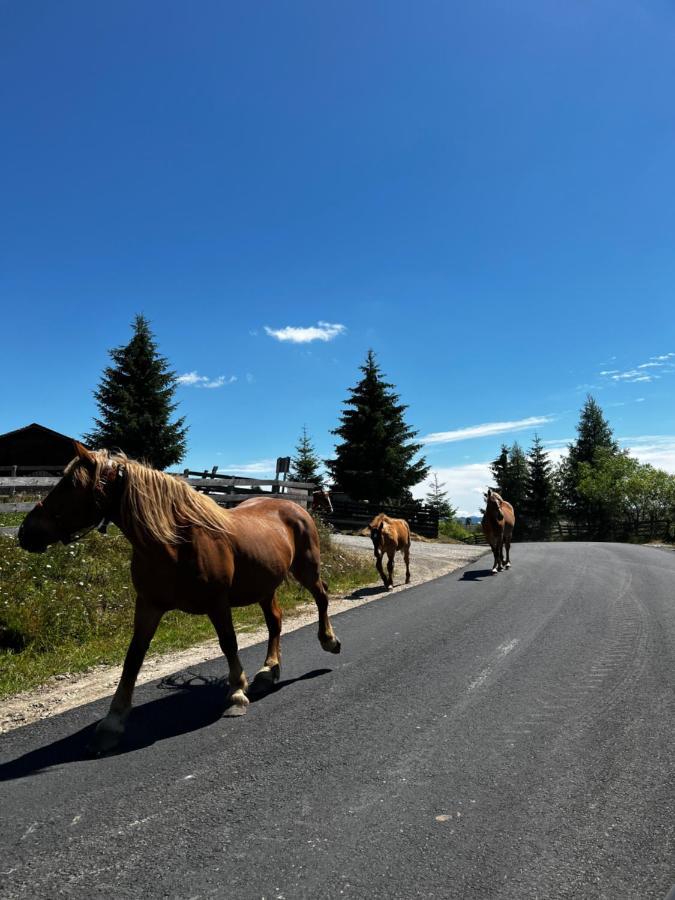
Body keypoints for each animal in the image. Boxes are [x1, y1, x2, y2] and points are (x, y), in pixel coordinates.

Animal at [17, 442, 340, 752]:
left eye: (70, 485)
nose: (25, 532)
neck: (175, 544)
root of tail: (294, 507)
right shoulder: (148, 605)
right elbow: (133, 658)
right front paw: (112, 722)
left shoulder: (217, 603)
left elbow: (228, 644)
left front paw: (237, 693)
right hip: (264, 585)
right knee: (275, 621)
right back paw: (267, 671)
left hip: (306, 570)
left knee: (321, 597)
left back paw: (328, 641)